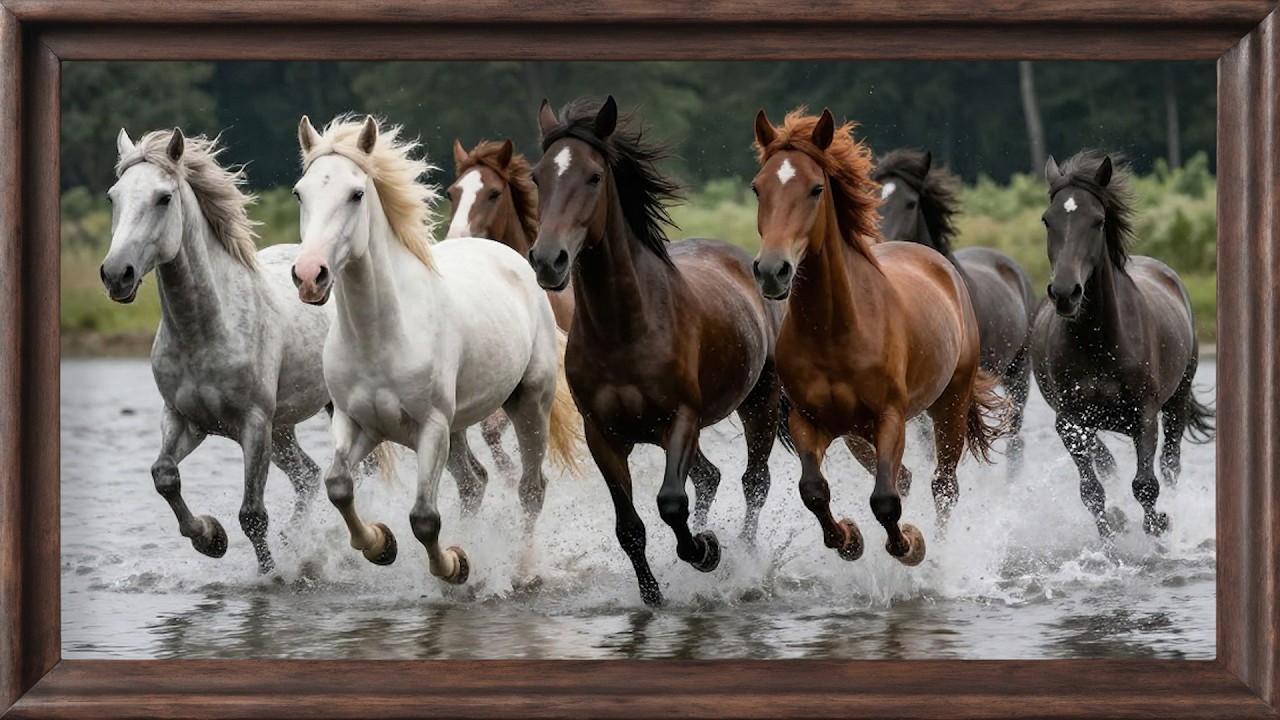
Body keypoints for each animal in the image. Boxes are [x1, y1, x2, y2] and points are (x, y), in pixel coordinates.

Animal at [100, 128, 331, 574]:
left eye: (163, 198)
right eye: (113, 196)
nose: (117, 275)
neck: (204, 331)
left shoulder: (253, 425)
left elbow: (252, 514)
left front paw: (269, 575)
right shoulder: (183, 419)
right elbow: (164, 475)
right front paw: (211, 538)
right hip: (282, 429)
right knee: (309, 476)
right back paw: (296, 542)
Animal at [528, 96, 792, 607]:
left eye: (593, 176)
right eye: (537, 176)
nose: (548, 260)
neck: (626, 329)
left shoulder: (681, 419)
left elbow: (671, 503)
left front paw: (706, 551)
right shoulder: (603, 435)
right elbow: (629, 527)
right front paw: (653, 594)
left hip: (760, 405)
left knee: (754, 482)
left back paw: (743, 560)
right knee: (710, 477)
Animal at [750, 108, 1007, 567]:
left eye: (816, 188)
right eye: (757, 187)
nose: (772, 271)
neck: (834, 328)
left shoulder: (890, 418)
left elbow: (885, 500)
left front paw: (910, 546)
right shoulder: (807, 421)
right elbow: (813, 491)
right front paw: (849, 539)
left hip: (951, 404)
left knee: (943, 485)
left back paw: (939, 550)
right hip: (856, 433)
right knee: (904, 477)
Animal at [1032, 151, 1213, 538]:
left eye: (1098, 221)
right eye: (1047, 220)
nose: (1065, 293)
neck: (1099, 342)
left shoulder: (1144, 416)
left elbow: (1146, 485)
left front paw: (1160, 526)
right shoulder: (1070, 421)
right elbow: (1091, 491)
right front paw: (1111, 532)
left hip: (1178, 400)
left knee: (1171, 463)